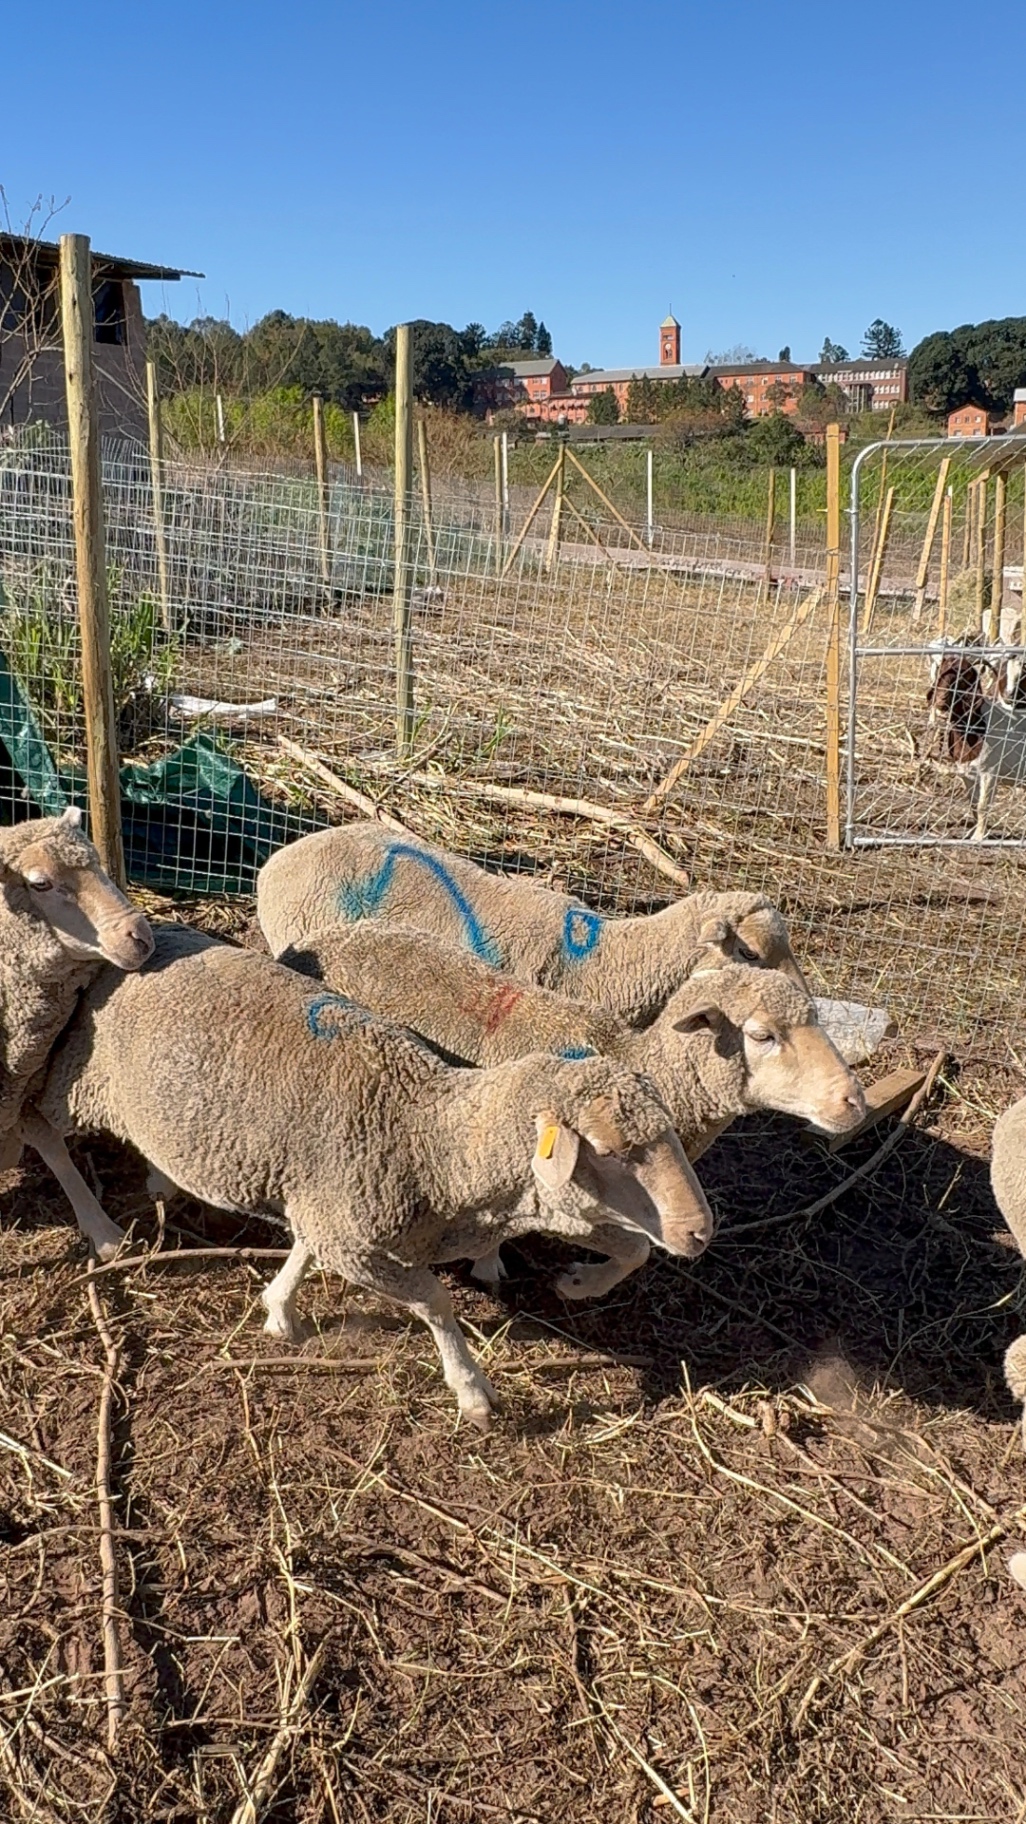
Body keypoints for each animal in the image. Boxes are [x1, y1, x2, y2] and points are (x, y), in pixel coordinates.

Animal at [0, 809, 154, 1260]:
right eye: (40, 884)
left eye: (98, 862)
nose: (142, 937)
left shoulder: (26, 1080)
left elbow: (49, 1141)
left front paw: (103, 1233)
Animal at [28, 925, 713, 1429]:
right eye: (609, 1150)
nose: (700, 1231)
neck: (430, 1136)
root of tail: (156, 932)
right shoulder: (356, 1239)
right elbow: (435, 1300)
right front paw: (473, 1391)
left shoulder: (331, 1211)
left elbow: (304, 1250)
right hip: (77, 1081)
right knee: (39, 1130)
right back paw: (100, 1227)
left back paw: (162, 1180)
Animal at [277, 921, 864, 1295]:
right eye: (762, 1036)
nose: (853, 1102)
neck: (639, 1058)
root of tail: (314, 941)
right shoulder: (580, 1201)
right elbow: (636, 1251)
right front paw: (577, 1284)